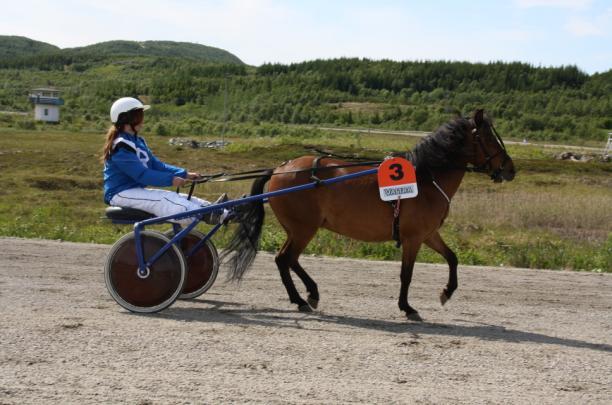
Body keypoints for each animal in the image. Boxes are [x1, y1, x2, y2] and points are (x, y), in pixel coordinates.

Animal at [222, 109, 512, 318]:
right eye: (489, 138)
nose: (510, 168)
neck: (425, 178)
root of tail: (281, 168)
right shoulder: (413, 237)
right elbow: (407, 274)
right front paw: (407, 307)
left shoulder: (428, 234)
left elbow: (452, 258)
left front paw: (447, 291)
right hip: (304, 228)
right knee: (285, 259)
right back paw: (303, 298)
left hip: (298, 229)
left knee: (286, 259)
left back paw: (308, 295)